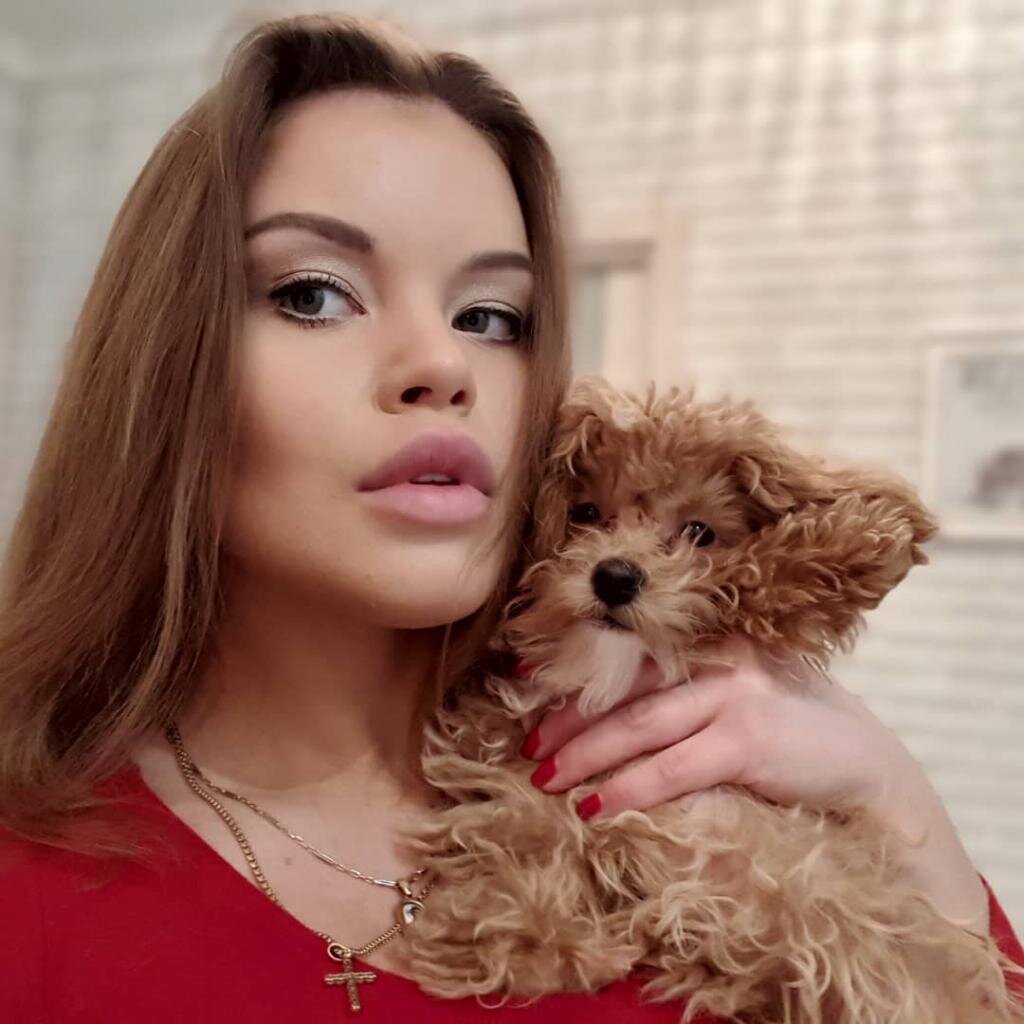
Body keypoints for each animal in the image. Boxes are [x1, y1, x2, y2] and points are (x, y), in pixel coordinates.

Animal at [396, 377, 1024, 1023]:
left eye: (698, 532)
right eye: (585, 513)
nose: (615, 576)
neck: (604, 671)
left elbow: (755, 581)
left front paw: (862, 537)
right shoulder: (519, 759)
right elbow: (524, 825)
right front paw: (509, 934)